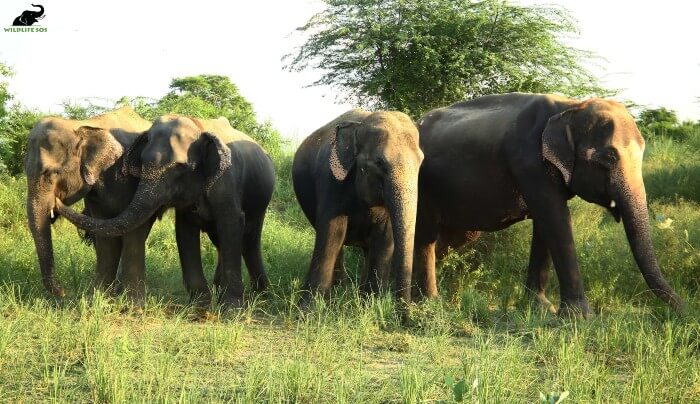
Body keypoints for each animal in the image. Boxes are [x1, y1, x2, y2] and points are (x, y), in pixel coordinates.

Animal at [26, 105, 156, 302]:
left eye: (51, 173)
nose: (63, 292)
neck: (82, 126)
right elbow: (104, 235)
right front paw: (98, 299)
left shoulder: (129, 179)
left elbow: (133, 232)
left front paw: (133, 304)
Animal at [55, 114, 276, 306]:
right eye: (143, 164)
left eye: (180, 168)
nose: (56, 200)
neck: (197, 124)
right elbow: (185, 232)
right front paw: (201, 305)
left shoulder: (227, 183)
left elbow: (231, 223)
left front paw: (230, 309)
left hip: (261, 200)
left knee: (248, 239)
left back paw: (261, 295)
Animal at [292, 108, 424, 304]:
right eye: (379, 163)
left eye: (421, 162)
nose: (404, 309)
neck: (360, 125)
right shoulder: (331, 180)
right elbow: (333, 231)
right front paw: (309, 307)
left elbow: (385, 237)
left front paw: (372, 302)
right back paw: (340, 289)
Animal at [412, 92, 680, 316]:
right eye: (608, 158)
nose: (680, 310)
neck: (571, 107)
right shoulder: (529, 162)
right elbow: (555, 217)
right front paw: (580, 317)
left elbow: (545, 224)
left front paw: (540, 308)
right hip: (422, 187)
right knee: (426, 234)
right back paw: (425, 301)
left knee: (456, 236)